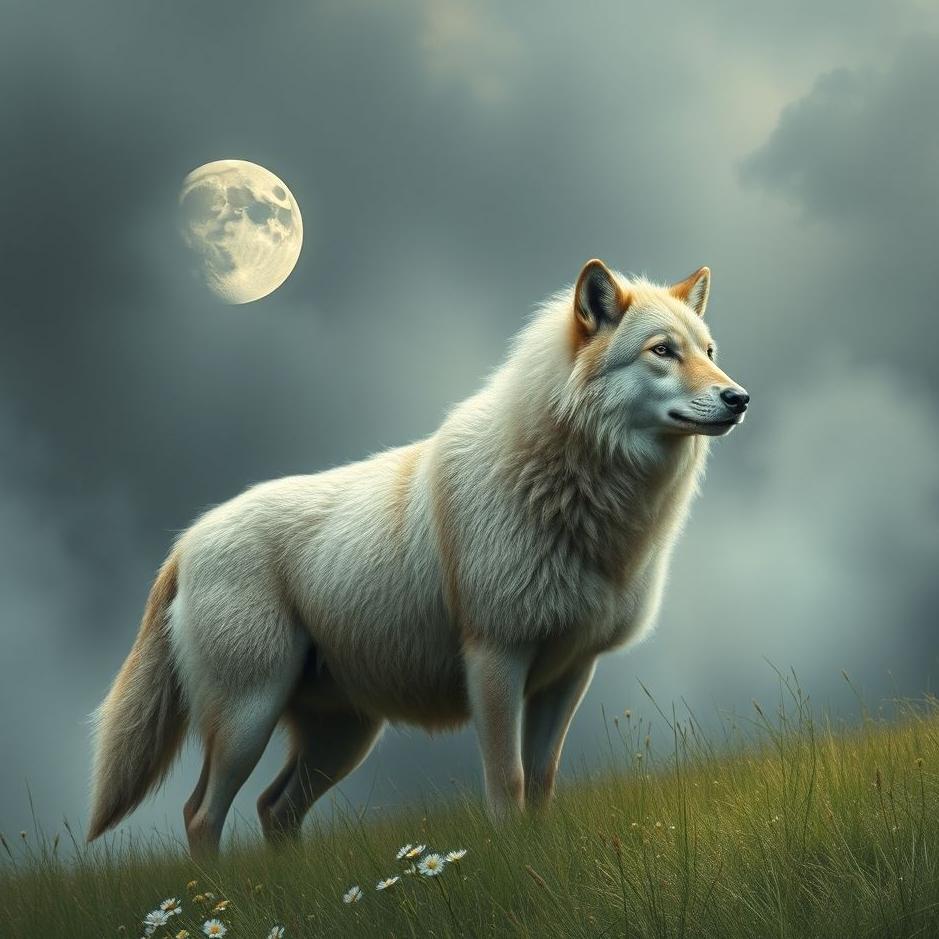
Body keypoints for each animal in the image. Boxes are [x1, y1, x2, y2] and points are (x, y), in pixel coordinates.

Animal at [87, 259, 748, 854]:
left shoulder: (569, 673)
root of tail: (184, 544)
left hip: (342, 738)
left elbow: (541, 784)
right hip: (250, 719)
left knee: (273, 809)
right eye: (662, 351)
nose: (739, 397)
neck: (573, 488)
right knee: (201, 815)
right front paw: (517, 864)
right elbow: (507, 782)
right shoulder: (495, 661)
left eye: (709, 349)